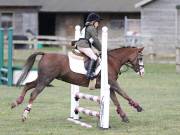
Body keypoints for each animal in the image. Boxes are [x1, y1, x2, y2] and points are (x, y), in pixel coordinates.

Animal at [11, 47, 144, 123]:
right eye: (141, 58)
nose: (142, 72)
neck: (111, 62)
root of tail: (46, 54)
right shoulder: (113, 83)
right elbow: (124, 94)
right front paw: (137, 107)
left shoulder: (109, 86)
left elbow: (116, 100)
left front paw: (124, 116)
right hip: (46, 80)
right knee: (33, 93)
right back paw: (25, 115)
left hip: (43, 79)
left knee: (27, 85)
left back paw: (16, 102)